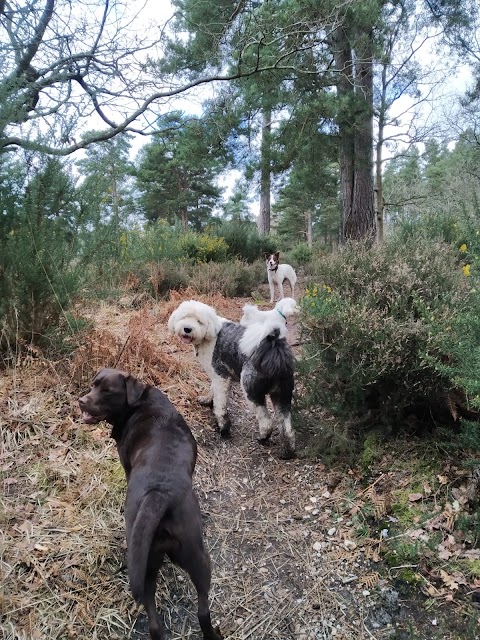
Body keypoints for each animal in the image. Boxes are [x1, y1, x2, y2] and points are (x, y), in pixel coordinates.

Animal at [78, 368, 221, 640]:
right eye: (92, 385)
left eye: (107, 391)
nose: (81, 401)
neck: (138, 404)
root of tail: (159, 494)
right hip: (191, 556)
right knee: (197, 610)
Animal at [169, 302, 296, 460]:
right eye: (184, 317)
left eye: (199, 321)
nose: (187, 329)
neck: (211, 331)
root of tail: (275, 350)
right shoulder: (216, 376)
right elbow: (212, 390)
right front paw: (207, 400)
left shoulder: (221, 377)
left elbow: (220, 405)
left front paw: (223, 427)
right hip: (282, 395)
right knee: (287, 427)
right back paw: (287, 453)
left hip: (251, 392)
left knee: (266, 422)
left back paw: (263, 438)